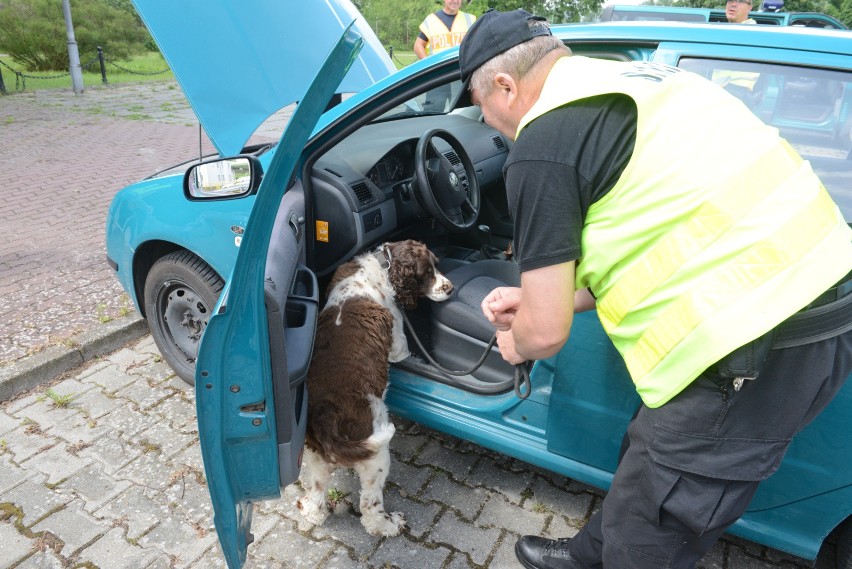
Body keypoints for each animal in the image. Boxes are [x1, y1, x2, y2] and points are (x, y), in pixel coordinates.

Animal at [296, 240, 452, 536]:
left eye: (437, 265)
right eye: (427, 272)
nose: (449, 288)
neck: (383, 264)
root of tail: (326, 416)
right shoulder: (398, 339)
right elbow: (402, 350)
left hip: (316, 454)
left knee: (318, 492)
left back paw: (311, 510)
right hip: (375, 454)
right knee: (368, 506)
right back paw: (388, 524)